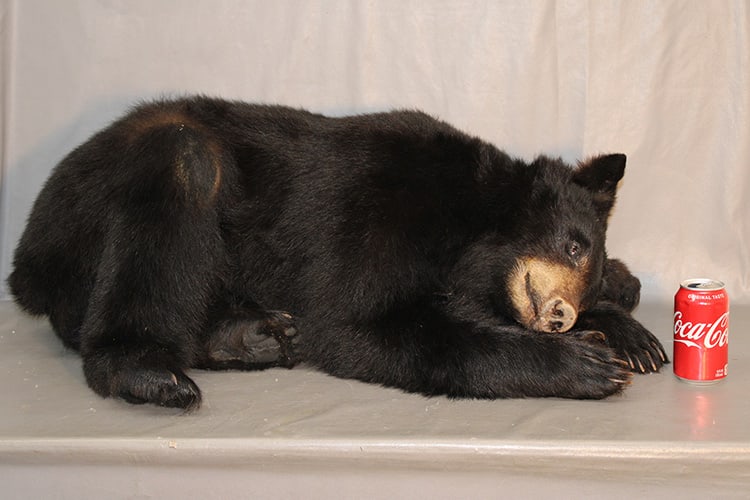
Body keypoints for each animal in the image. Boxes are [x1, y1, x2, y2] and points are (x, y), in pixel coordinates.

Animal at [8, 96, 668, 411]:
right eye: (572, 244)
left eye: (587, 267)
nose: (562, 315)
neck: (471, 221)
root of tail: (26, 260)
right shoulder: (376, 207)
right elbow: (356, 324)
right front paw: (586, 364)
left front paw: (631, 327)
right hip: (89, 212)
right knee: (180, 165)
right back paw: (148, 372)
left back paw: (250, 336)